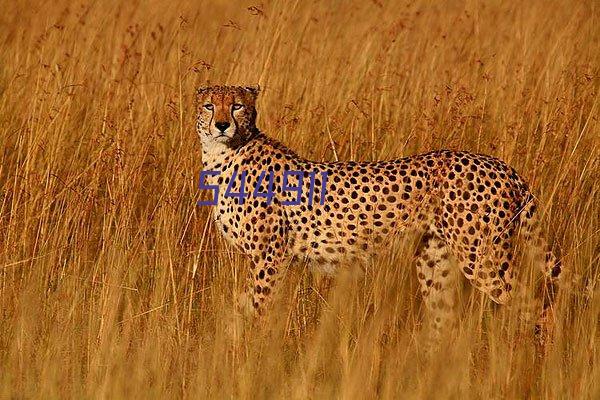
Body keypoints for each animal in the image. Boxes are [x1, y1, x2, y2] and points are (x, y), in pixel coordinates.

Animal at [196, 85, 564, 350]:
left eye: (237, 105)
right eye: (209, 105)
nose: (222, 124)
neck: (225, 155)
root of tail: (501, 165)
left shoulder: (271, 256)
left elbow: (256, 308)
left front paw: (251, 355)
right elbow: (240, 309)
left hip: (482, 256)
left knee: (537, 305)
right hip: (433, 259)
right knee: (444, 321)